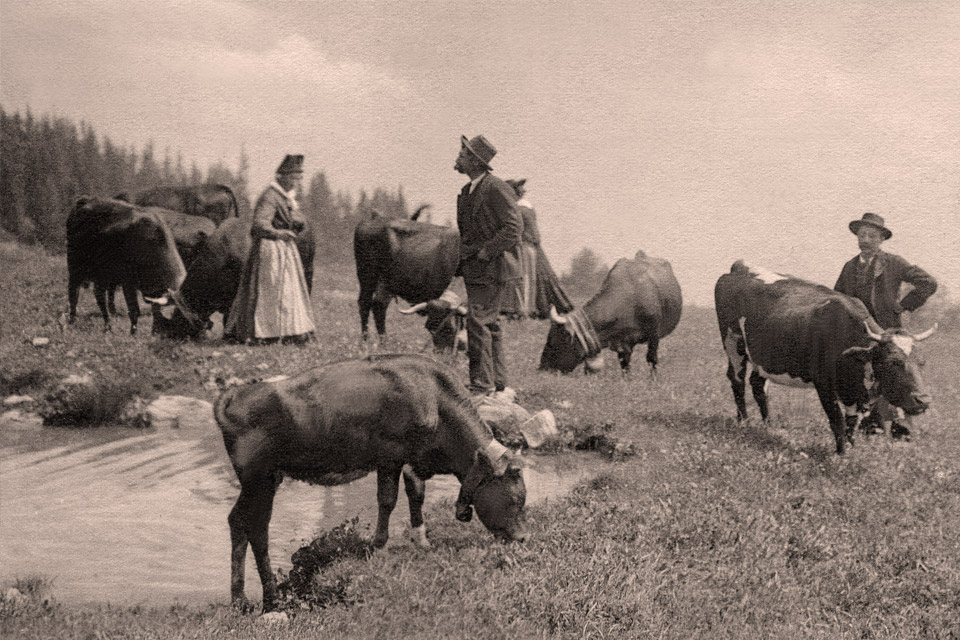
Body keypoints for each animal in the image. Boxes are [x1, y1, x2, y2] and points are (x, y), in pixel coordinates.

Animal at [66, 196, 187, 334]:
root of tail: (84, 200)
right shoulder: (128, 282)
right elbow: (134, 310)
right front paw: (133, 333)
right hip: (75, 266)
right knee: (74, 293)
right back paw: (72, 321)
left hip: (102, 275)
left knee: (99, 296)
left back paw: (108, 326)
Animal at [214, 353, 527, 611]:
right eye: (515, 499)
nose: (523, 538)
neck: (436, 399)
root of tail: (235, 393)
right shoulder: (390, 455)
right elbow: (388, 500)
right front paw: (379, 546)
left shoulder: (412, 460)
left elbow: (417, 493)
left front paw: (421, 539)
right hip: (261, 478)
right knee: (257, 528)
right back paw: (272, 599)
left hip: (257, 482)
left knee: (236, 520)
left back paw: (239, 599)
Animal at [354, 209, 461, 343]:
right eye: (431, 327)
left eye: (450, 329)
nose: (443, 348)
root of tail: (373, 219)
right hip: (369, 277)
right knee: (368, 304)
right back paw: (369, 341)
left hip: (382, 282)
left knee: (375, 305)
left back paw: (379, 342)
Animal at [539, 250, 682, 374]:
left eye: (552, 341)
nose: (542, 368)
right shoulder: (623, 343)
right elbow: (625, 365)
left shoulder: (654, 334)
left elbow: (652, 359)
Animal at [714, 260, 936, 454]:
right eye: (892, 362)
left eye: (923, 363)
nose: (923, 400)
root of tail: (740, 266)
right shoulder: (824, 385)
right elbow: (837, 420)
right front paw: (840, 454)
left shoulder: (855, 394)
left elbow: (851, 423)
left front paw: (851, 450)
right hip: (732, 342)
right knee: (737, 380)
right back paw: (743, 422)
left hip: (764, 357)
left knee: (758, 385)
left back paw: (768, 426)